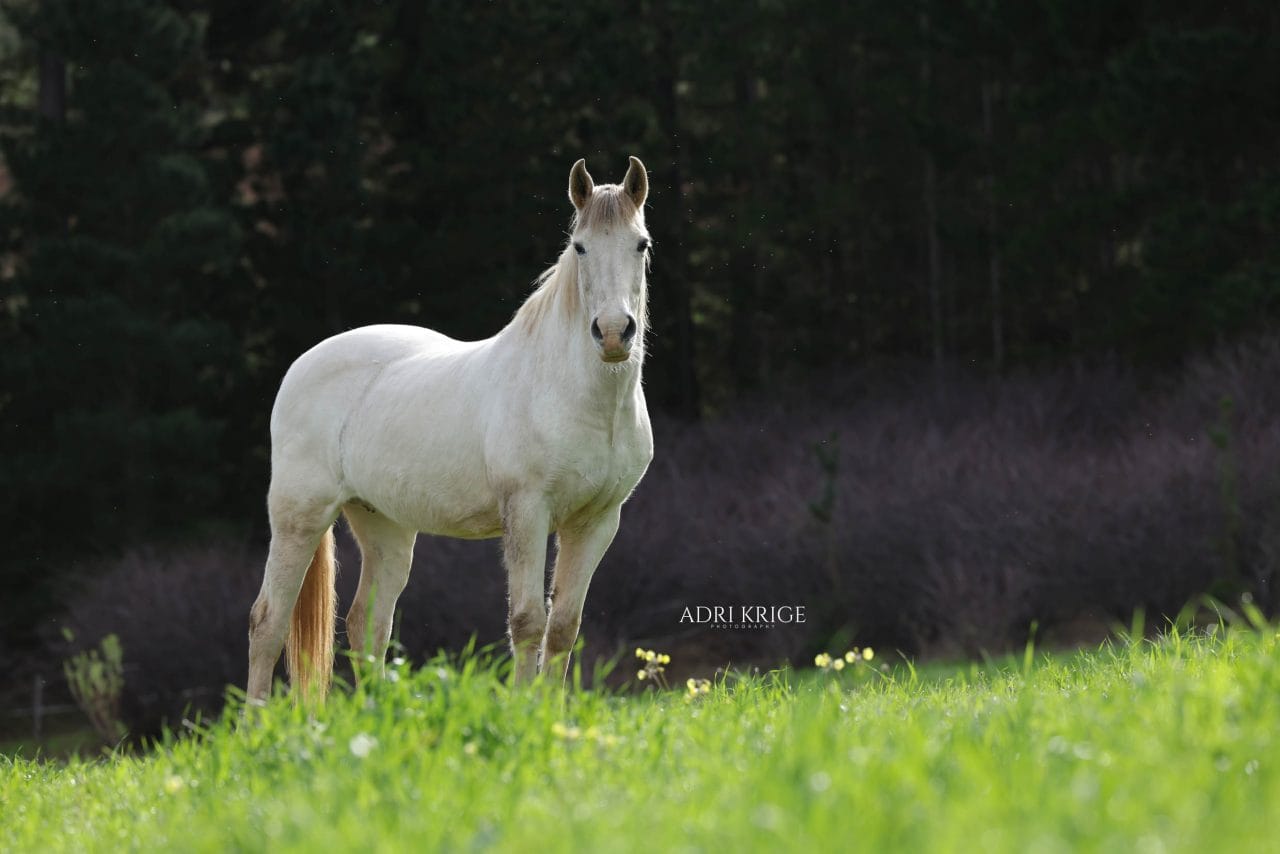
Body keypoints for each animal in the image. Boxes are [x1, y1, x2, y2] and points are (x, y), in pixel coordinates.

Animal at [246, 157, 655, 702]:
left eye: (641, 244)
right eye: (580, 247)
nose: (613, 334)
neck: (575, 396)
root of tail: (299, 368)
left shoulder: (596, 522)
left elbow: (563, 627)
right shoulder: (527, 513)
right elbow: (528, 621)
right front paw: (524, 711)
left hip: (384, 525)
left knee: (366, 624)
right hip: (300, 518)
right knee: (268, 622)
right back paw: (254, 720)